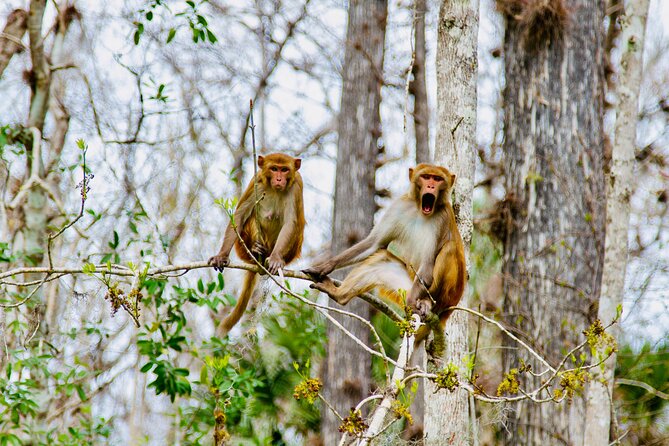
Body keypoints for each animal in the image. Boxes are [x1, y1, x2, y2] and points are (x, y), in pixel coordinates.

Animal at [208, 153, 305, 334]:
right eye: (274, 169)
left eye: (284, 169)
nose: (279, 179)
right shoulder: (256, 181)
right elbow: (239, 215)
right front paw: (222, 255)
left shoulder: (296, 186)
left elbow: (291, 223)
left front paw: (276, 259)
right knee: (252, 215)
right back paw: (256, 250)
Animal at [304, 163, 466, 339]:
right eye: (426, 177)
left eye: (437, 179)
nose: (430, 186)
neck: (419, 210)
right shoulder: (399, 206)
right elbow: (374, 244)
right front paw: (325, 266)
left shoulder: (442, 219)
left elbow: (428, 267)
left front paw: (411, 303)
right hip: (407, 286)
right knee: (381, 259)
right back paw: (339, 295)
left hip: (441, 296)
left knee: (449, 249)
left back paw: (427, 303)